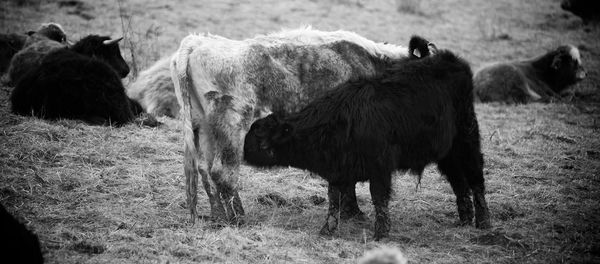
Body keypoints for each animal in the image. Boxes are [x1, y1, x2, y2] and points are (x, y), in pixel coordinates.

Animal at [171, 26, 410, 224]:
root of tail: (198, 42)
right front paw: (354, 212)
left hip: (203, 126)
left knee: (205, 170)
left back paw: (218, 216)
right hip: (233, 125)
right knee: (222, 171)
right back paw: (239, 217)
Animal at [244, 46, 492, 240]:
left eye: (259, 138)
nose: (242, 153)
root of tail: (448, 59)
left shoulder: (380, 167)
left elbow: (378, 198)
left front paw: (380, 233)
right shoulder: (338, 170)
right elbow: (334, 200)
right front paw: (327, 229)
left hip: (467, 140)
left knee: (476, 179)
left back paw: (484, 222)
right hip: (447, 153)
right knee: (459, 183)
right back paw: (464, 220)